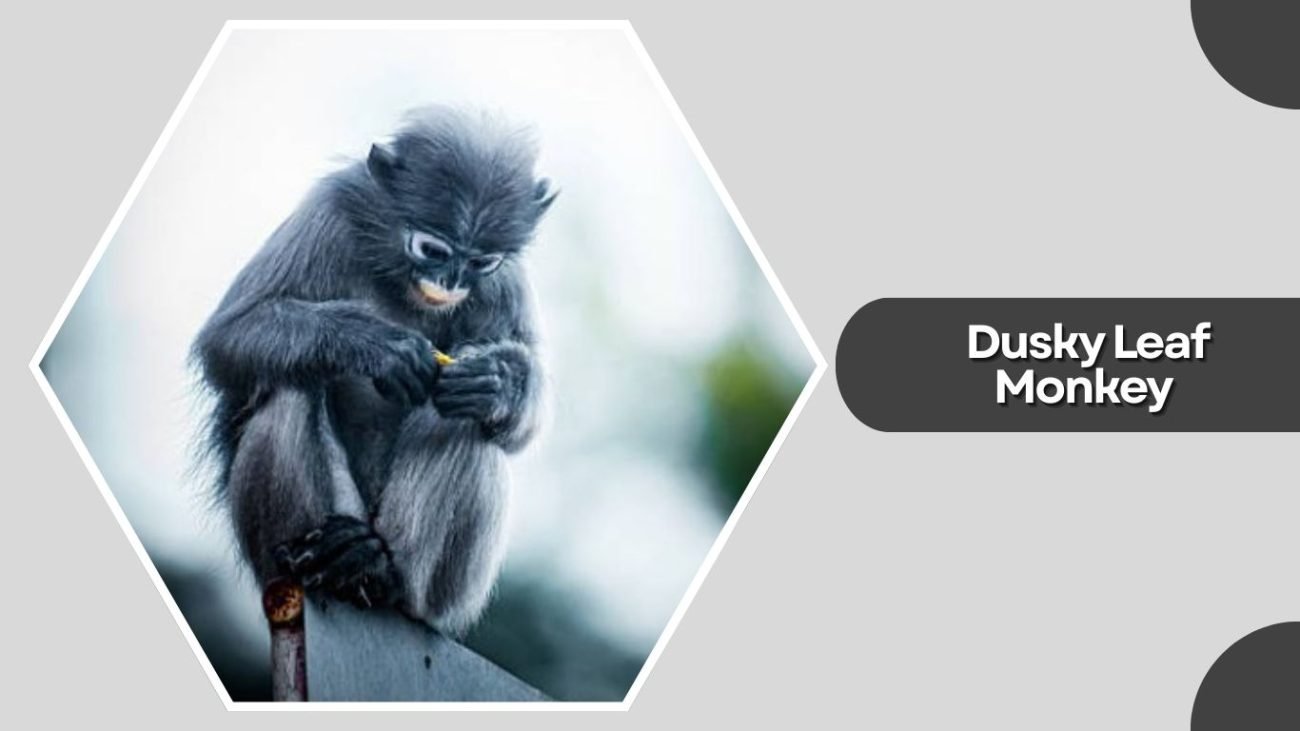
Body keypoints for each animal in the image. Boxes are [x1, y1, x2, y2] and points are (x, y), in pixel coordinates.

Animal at [192, 106, 555, 636]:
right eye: (432, 250)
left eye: (480, 261)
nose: (450, 281)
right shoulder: (330, 209)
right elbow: (228, 338)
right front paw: (377, 346)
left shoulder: (504, 278)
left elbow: (520, 422)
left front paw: (498, 384)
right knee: (290, 386)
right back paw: (331, 560)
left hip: (442, 594)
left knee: (463, 420)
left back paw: (383, 573)